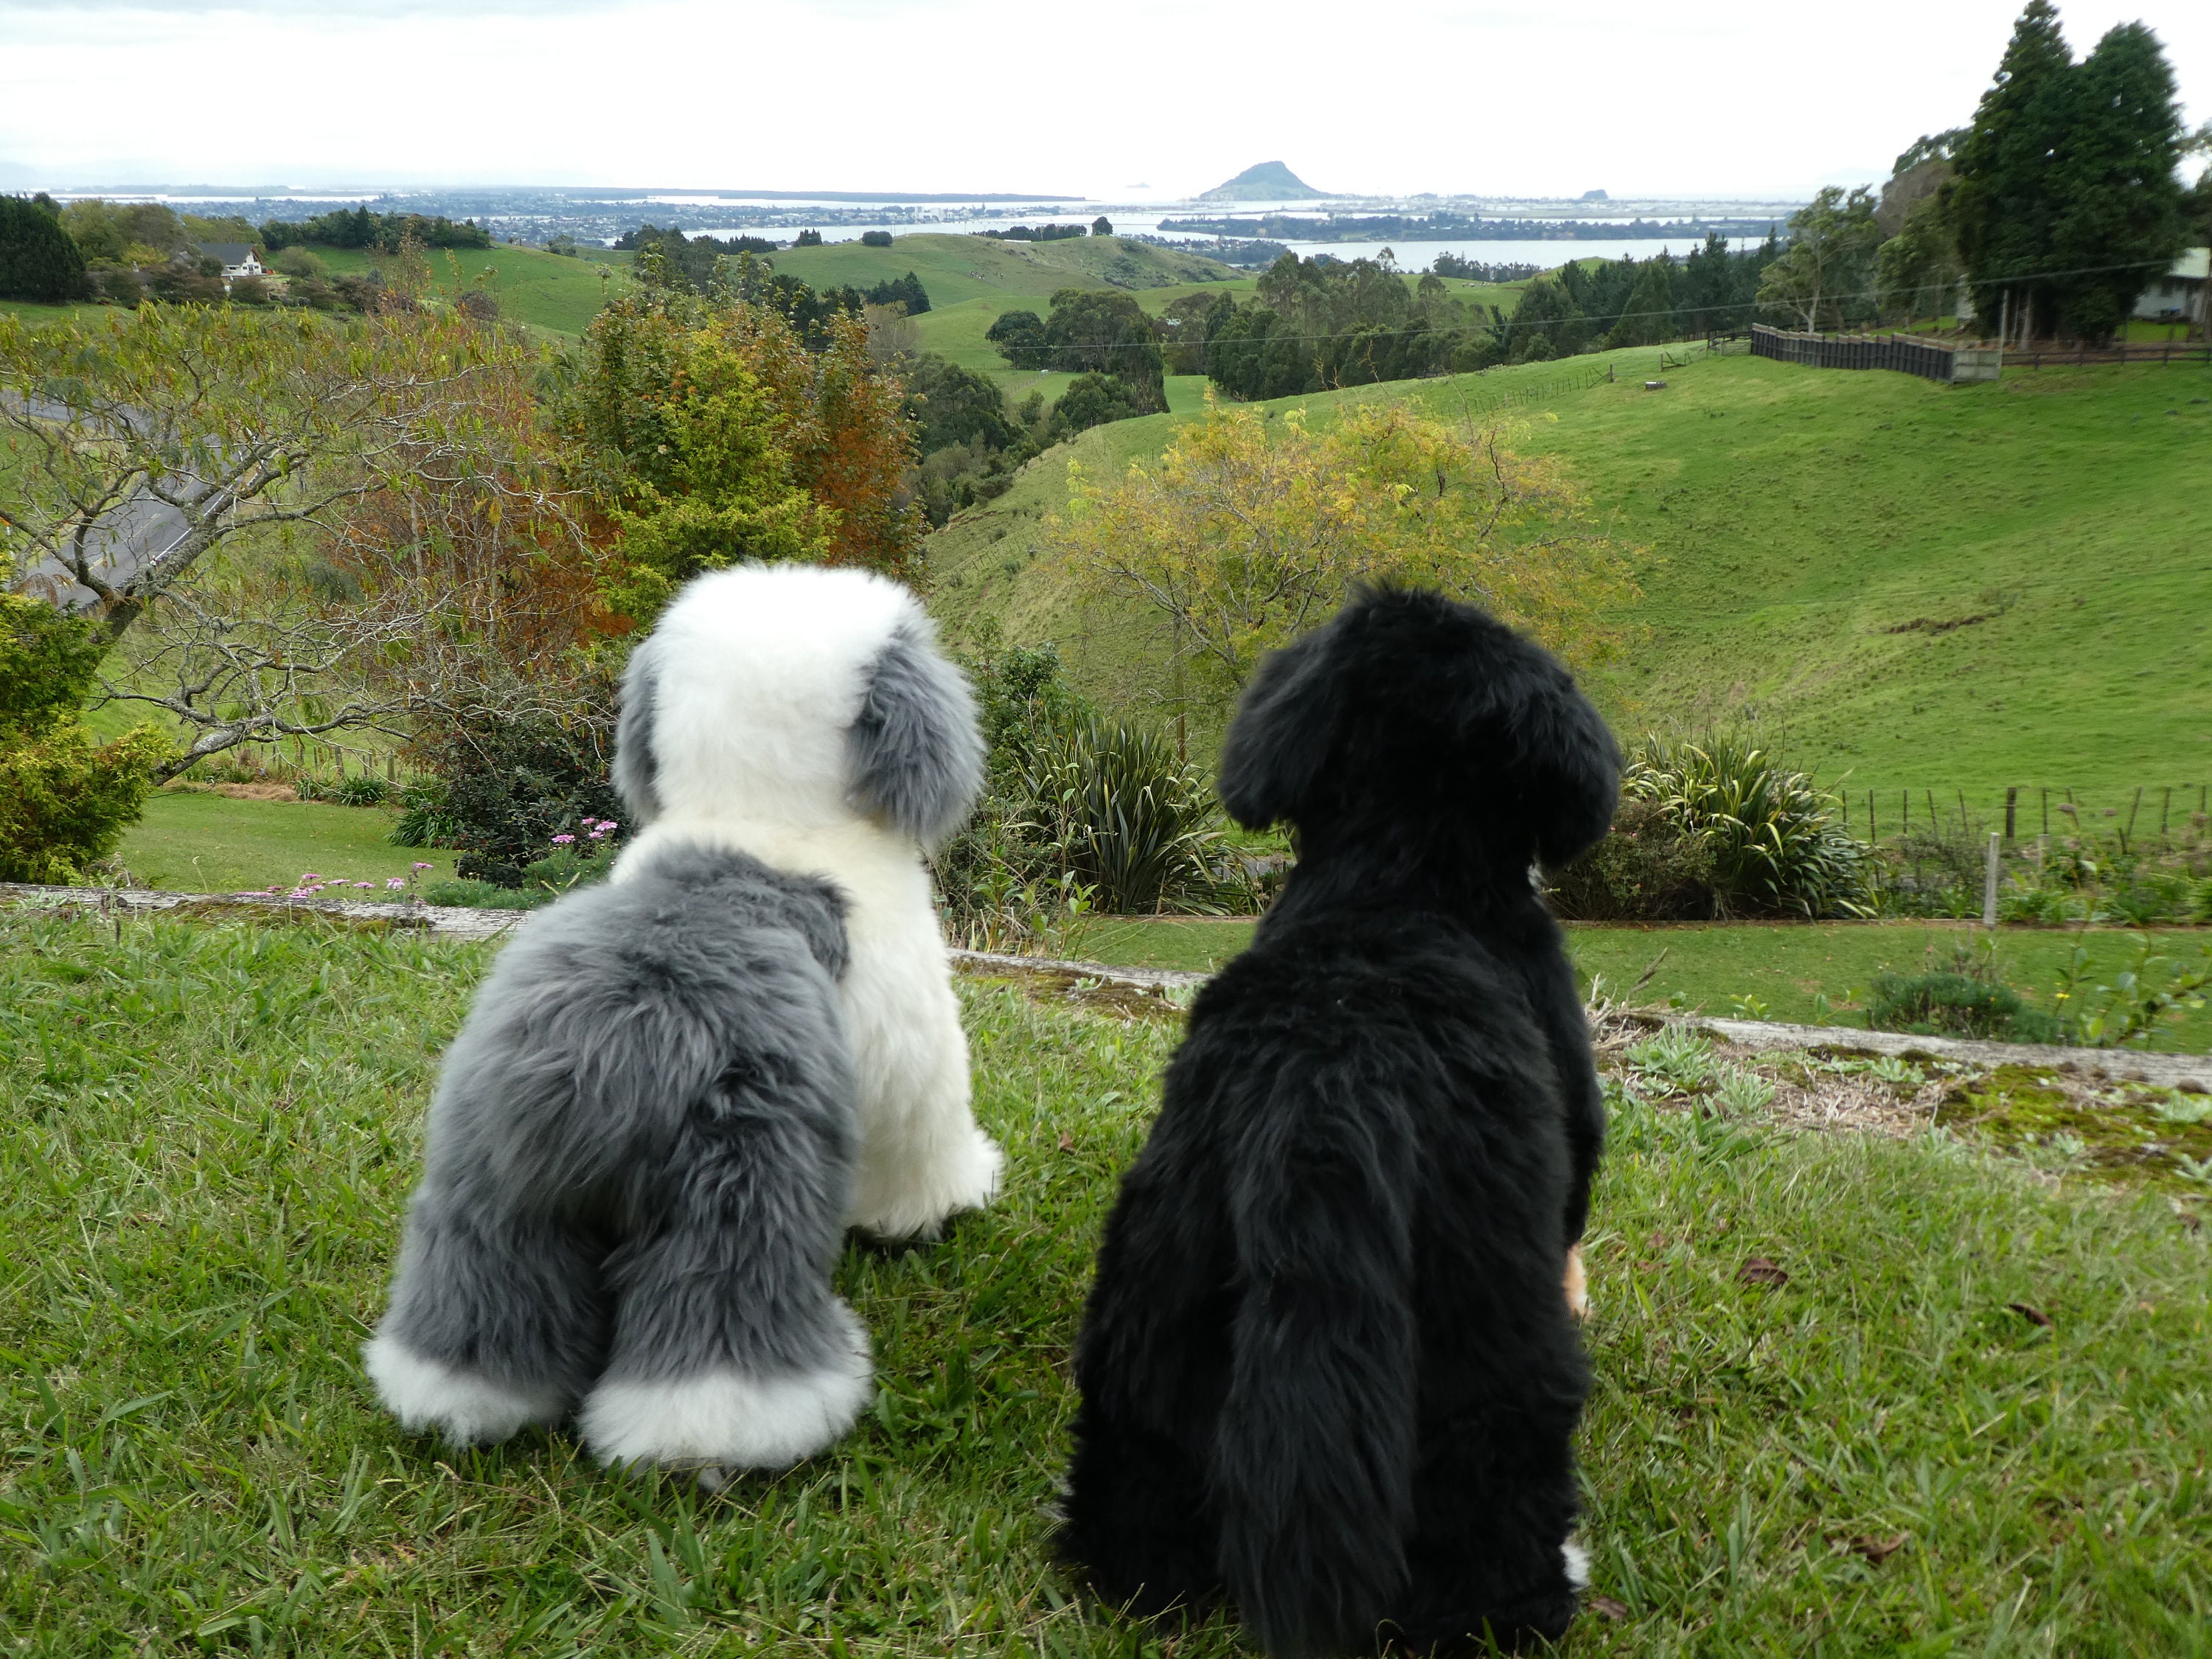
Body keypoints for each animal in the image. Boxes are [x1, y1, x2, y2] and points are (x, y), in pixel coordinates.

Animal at [1062, 593, 1619, 1655]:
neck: (1402, 873)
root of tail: (1328, 1081)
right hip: (1482, 1320)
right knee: (1488, 1497)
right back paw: (1534, 1594)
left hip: (1165, 1263)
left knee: (1144, 1444)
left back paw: (1134, 1567)